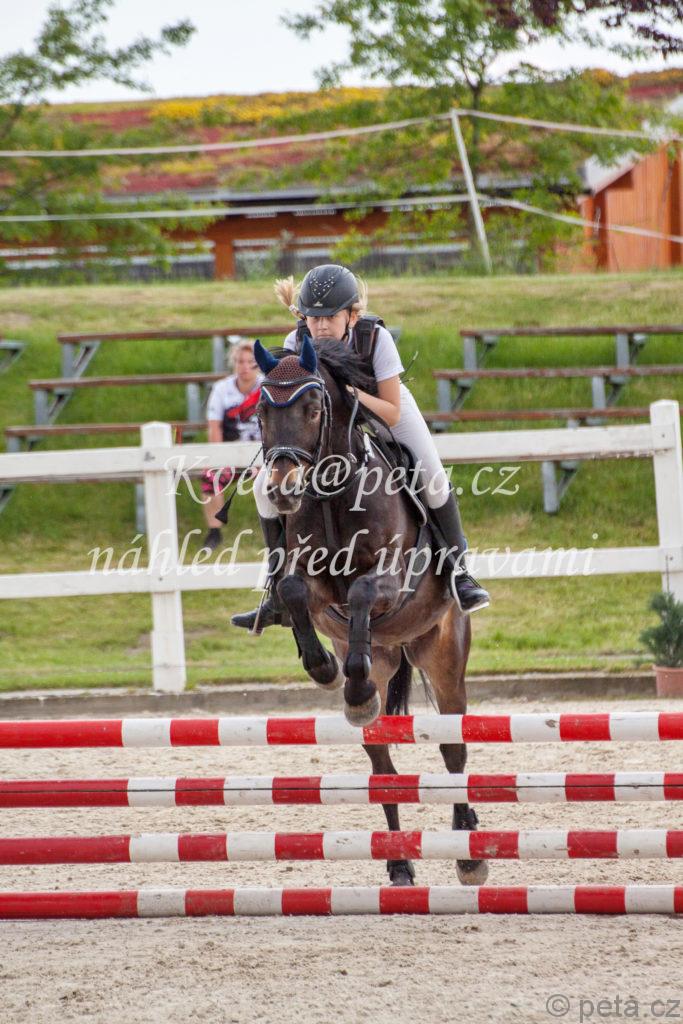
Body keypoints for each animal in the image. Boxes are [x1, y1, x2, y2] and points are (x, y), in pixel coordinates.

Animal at [251, 334, 488, 888]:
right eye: (260, 413)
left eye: (314, 408)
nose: (281, 489)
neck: (333, 493)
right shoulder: (313, 585)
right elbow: (292, 590)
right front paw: (323, 668)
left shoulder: (394, 578)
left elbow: (360, 591)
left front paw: (350, 688)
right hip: (386, 660)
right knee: (384, 768)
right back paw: (399, 861)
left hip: (444, 657)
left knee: (453, 751)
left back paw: (469, 852)